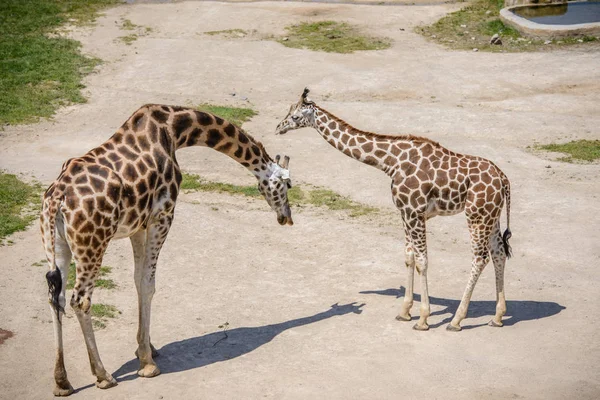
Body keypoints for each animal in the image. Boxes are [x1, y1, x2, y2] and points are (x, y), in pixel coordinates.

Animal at [41, 104, 294, 396]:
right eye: (287, 185)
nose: (287, 217)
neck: (175, 130)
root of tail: (57, 198)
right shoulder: (163, 215)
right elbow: (149, 284)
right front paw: (147, 364)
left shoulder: (138, 225)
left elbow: (139, 281)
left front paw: (147, 348)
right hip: (93, 242)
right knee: (80, 300)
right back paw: (103, 375)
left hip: (57, 244)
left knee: (56, 298)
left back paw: (62, 382)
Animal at [276, 89, 510, 332]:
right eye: (289, 111)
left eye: (295, 116)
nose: (278, 127)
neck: (391, 162)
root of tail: (503, 179)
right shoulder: (405, 212)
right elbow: (409, 257)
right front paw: (405, 312)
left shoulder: (415, 212)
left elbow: (422, 261)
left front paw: (423, 319)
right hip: (492, 216)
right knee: (499, 253)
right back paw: (497, 316)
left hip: (476, 215)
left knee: (479, 258)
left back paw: (456, 320)